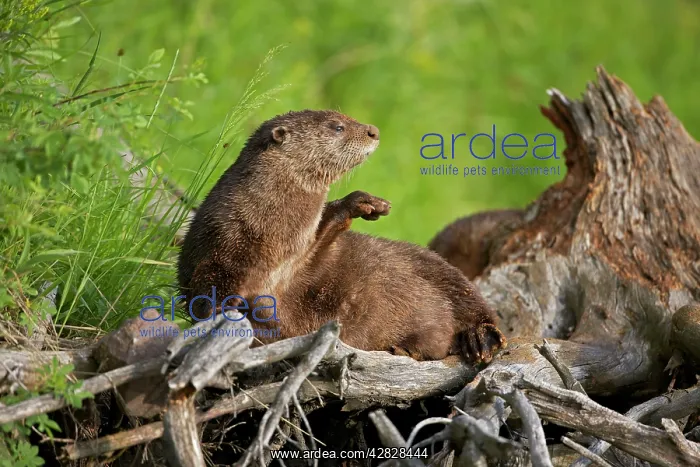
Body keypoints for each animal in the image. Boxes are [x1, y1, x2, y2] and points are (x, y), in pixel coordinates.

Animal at [177, 109, 506, 363]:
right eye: (337, 126)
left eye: (346, 117)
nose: (373, 131)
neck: (267, 233)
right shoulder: (219, 252)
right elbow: (207, 298)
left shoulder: (302, 257)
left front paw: (363, 202)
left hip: (438, 268)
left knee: (474, 304)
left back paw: (477, 338)